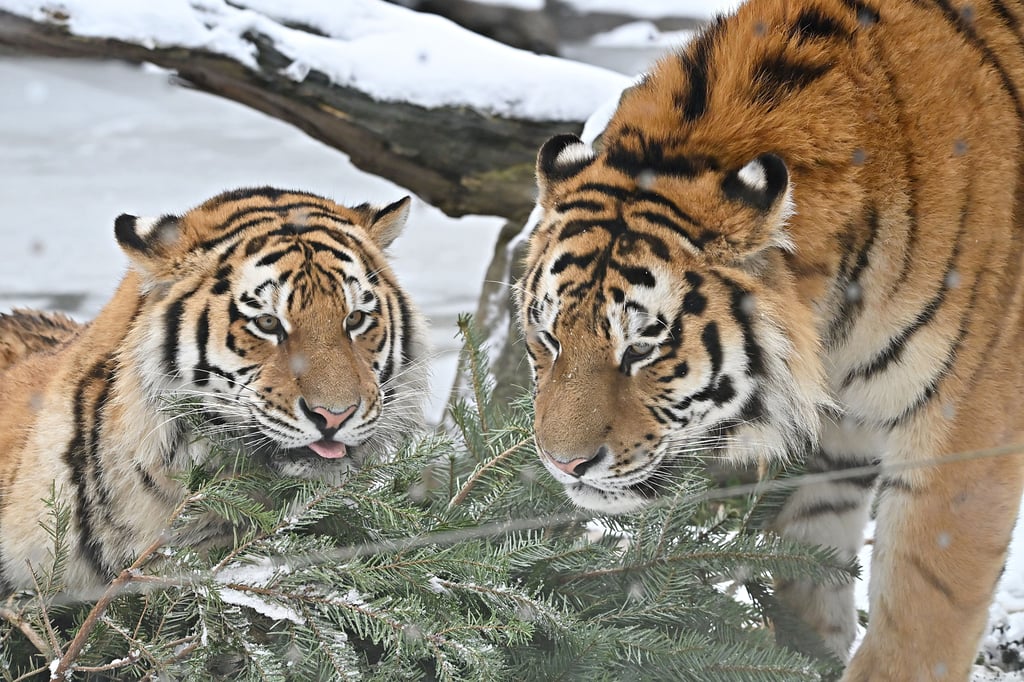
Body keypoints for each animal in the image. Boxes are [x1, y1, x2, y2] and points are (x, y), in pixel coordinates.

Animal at [518, 0, 1024, 678]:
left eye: (643, 347)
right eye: (547, 337)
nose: (563, 463)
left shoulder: (964, 434)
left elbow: (918, 625)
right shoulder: (834, 439)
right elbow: (810, 574)